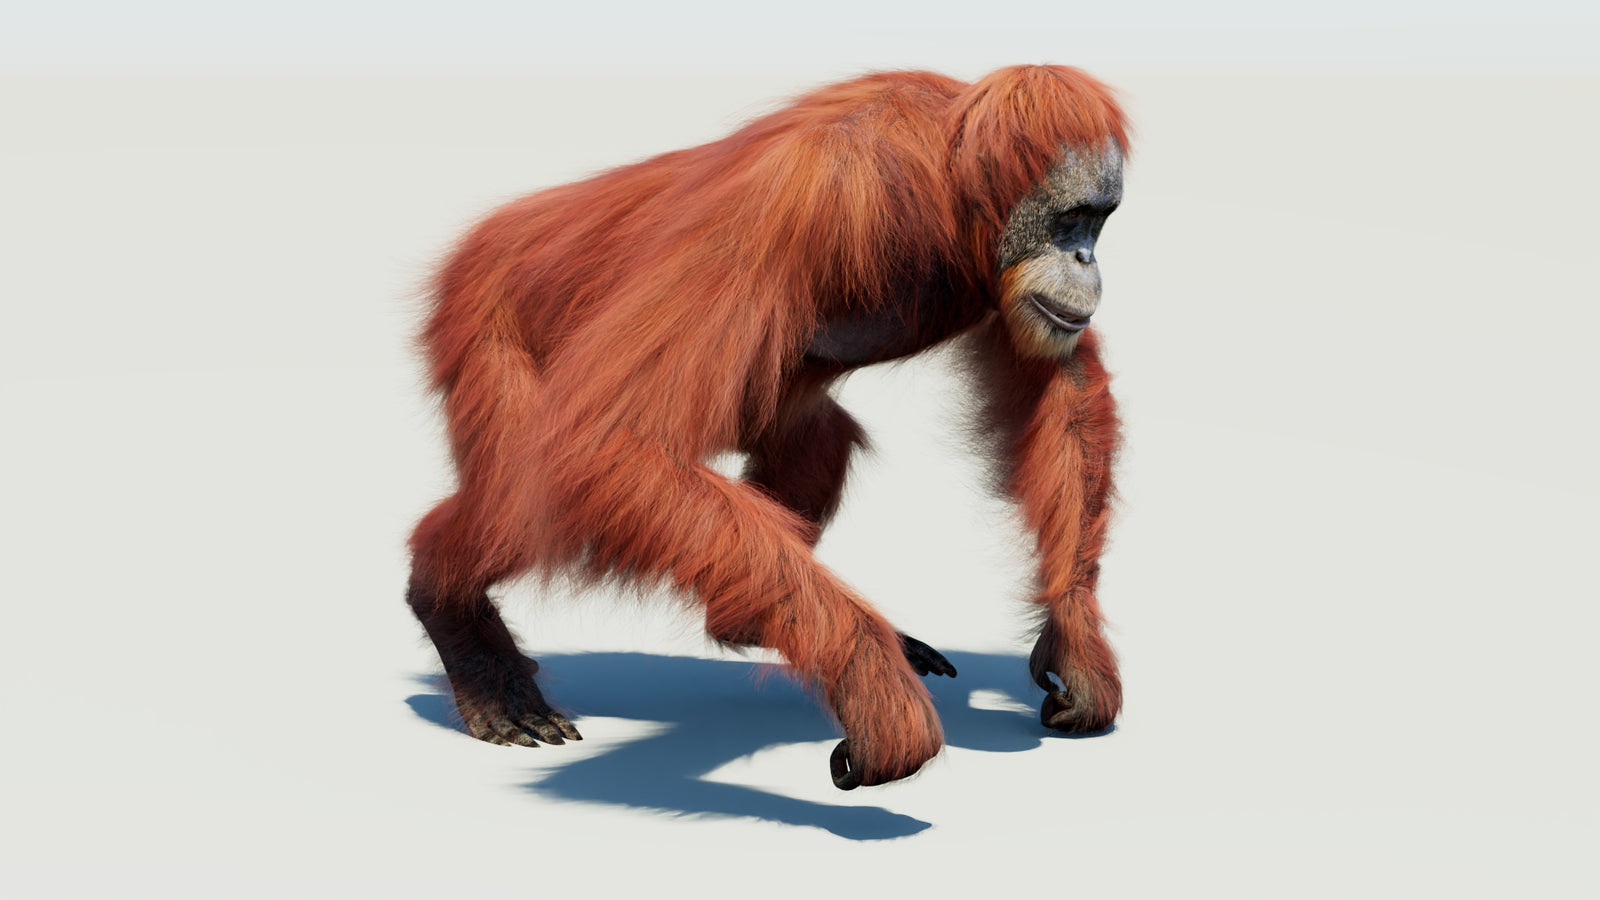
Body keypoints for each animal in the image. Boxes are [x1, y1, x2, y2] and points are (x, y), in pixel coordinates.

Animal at [406, 65, 1127, 789]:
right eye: (1071, 219)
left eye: (1099, 222)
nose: (1087, 260)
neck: (944, 190)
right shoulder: (801, 201)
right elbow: (611, 442)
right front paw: (873, 687)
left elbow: (1060, 383)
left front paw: (1075, 643)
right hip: (486, 324)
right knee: (528, 501)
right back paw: (453, 615)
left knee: (815, 443)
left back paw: (742, 620)